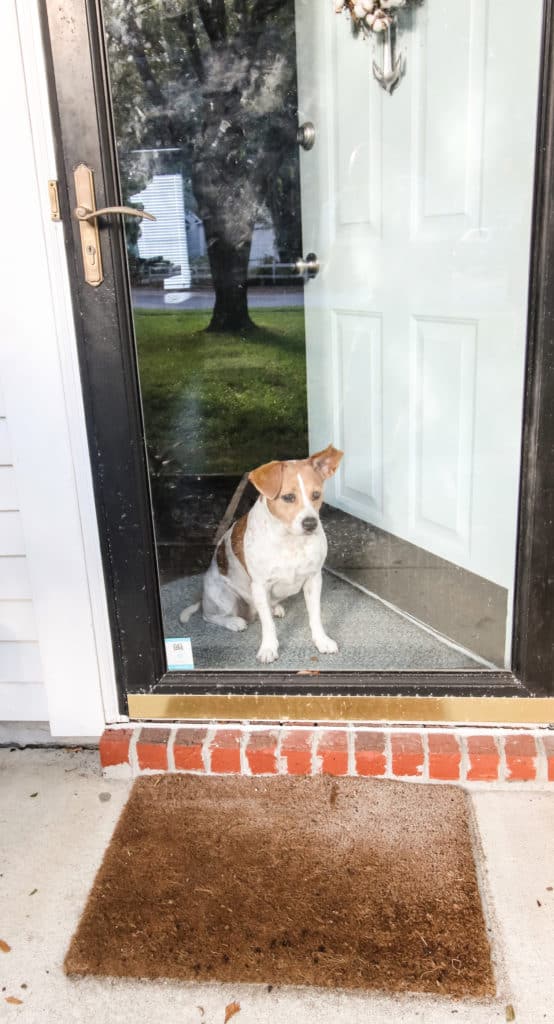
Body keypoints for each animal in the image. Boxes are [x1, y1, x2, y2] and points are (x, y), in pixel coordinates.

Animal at [179, 446, 344, 663]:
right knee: (210, 616)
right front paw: (268, 648)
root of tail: (203, 598)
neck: (290, 541)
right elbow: (268, 626)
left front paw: (321, 640)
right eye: (288, 497)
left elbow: (315, 616)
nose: (311, 524)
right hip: (224, 598)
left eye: (316, 495)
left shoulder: (313, 580)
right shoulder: (260, 586)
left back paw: (274, 608)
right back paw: (235, 622)